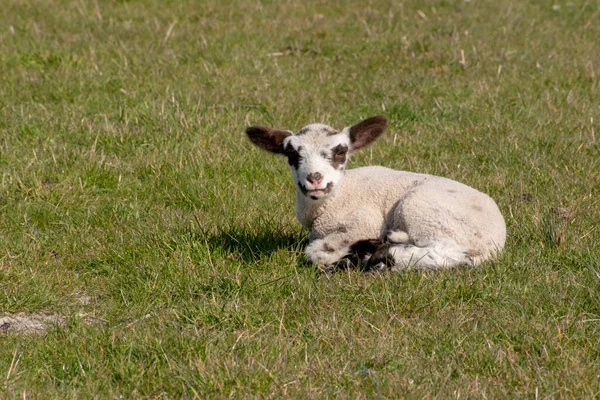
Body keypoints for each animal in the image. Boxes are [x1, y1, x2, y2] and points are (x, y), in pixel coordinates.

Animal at [245, 115, 506, 272]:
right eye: (291, 154)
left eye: (341, 152)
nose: (315, 178)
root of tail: (496, 241)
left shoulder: (363, 221)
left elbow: (315, 253)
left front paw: (346, 254)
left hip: (424, 210)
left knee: (449, 253)